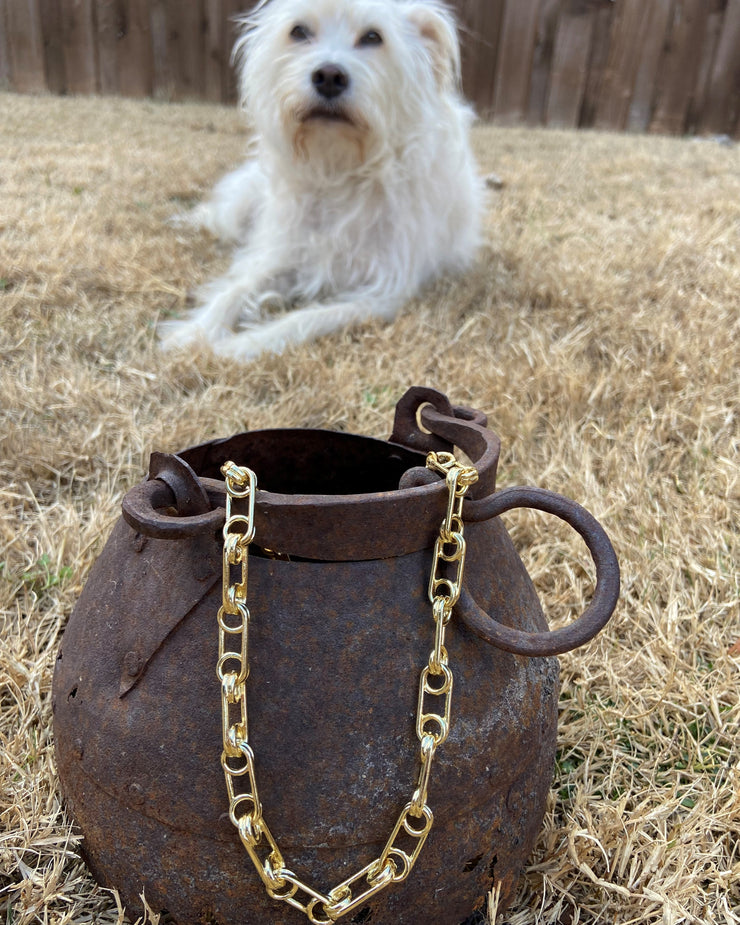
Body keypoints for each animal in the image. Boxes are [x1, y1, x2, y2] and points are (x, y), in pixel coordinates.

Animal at [160, 0, 482, 360]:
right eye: (298, 31)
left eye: (373, 37)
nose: (329, 76)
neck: (338, 169)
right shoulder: (282, 253)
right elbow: (236, 288)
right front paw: (193, 332)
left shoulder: (381, 293)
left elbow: (304, 319)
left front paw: (238, 346)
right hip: (239, 210)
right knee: (215, 217)